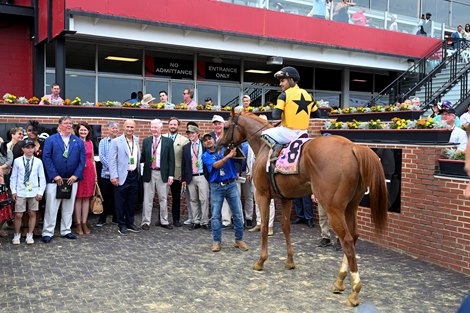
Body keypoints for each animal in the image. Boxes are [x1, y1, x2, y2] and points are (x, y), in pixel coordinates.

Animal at [218, 111, 388, 306]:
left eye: (225, 127)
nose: (218, 145)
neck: (263, 146)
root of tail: (352, 147)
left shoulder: (262, 196)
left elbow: (264, 229)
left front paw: (261, 261)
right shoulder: (286, 198)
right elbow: (286, 227)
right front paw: (290, 261)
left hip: (333, 209)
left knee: (346, 240)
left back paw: (354, 291)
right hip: (350, 207)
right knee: (354, 236)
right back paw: (339, 281)